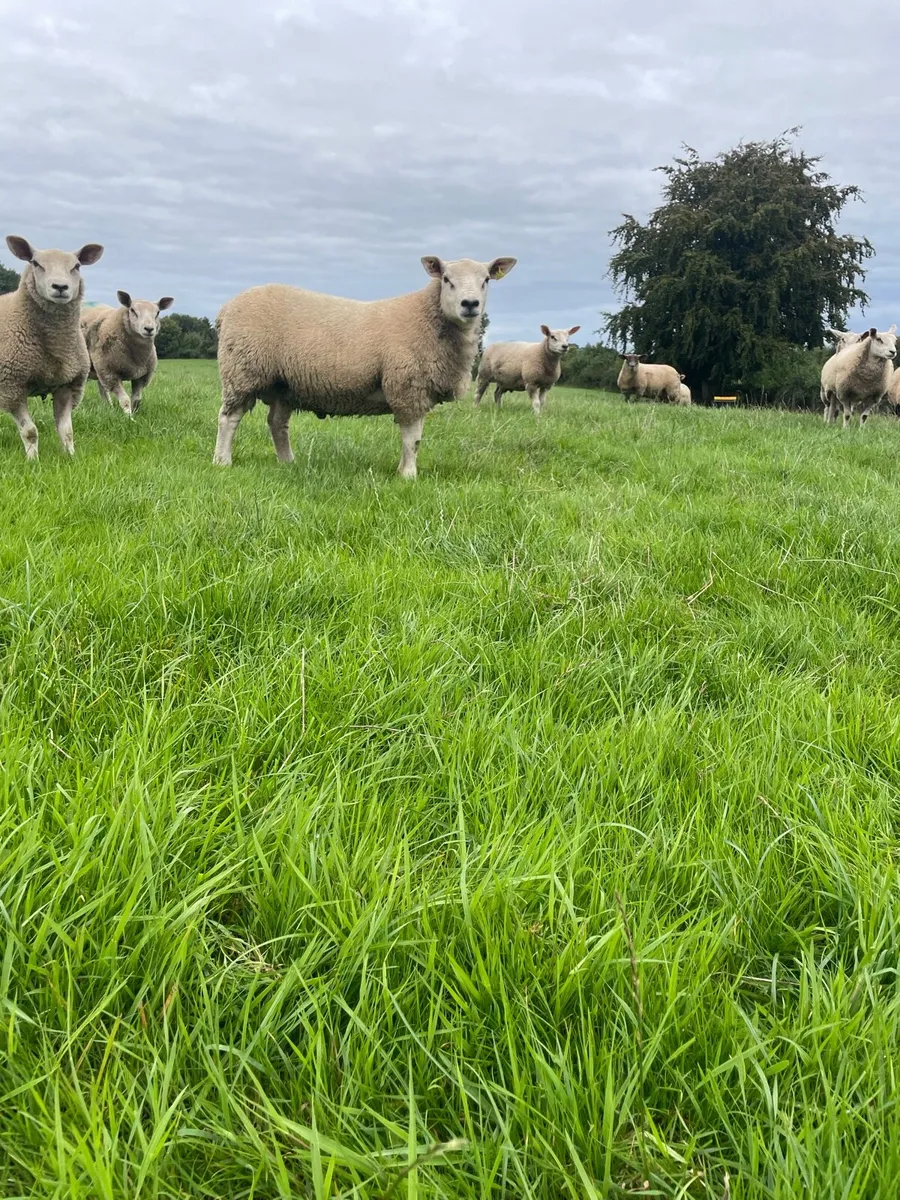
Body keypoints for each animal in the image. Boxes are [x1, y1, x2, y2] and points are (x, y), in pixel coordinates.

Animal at [0, 234, 104, 458]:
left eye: (76, 266)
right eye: (35, 263)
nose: (60, 287)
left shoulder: (67, 385)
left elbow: (67, 431)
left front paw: (71, 457)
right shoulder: (12, 387)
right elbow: (30, 431)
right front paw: (33, 460)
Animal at [213, 255, 517, 477]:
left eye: (486, 280)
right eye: (446, 279)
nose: (470, 304)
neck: (428, 318)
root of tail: (227, 308)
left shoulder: (416, 391)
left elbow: (414, 440)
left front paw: (403, 470)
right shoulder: (408, 387)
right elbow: (412, 439)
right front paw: (409, 475)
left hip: (283, 383)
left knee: (277, 423)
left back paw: (288, 462)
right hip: (242, 370)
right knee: (229, 418)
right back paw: (222, 460)